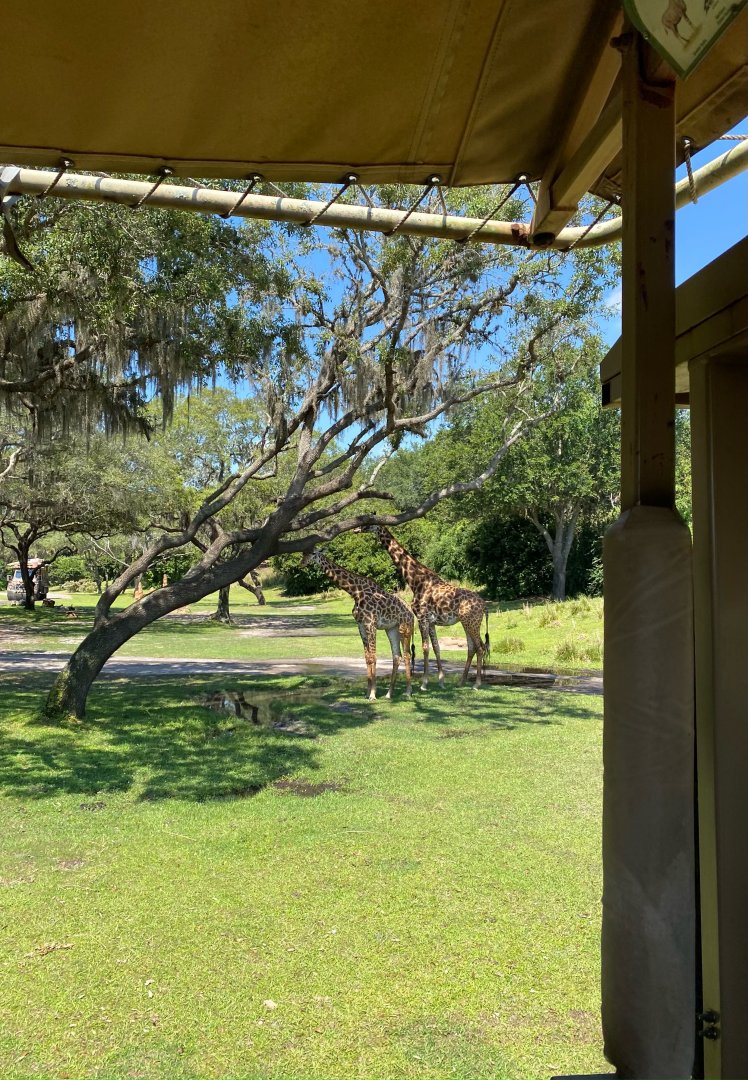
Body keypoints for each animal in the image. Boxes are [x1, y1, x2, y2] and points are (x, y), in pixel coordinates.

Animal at [301, 549, 413, 701]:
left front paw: (373, 695)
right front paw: (367, 692)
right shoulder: (360, 625)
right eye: (303, 554)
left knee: (407, 654)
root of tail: (412, 613)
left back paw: (408, 692)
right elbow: (367, 658)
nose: (302, 563)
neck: (355, 591)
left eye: (313, 554)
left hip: (404, 627)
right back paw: (389, 694)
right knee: (397, 656)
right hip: (392, 629)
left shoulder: (371, 623)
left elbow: (373, 657)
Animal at [368, 526, 489, 690]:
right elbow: (436, 647)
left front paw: (424, 684)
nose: (355, 529)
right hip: (467, 623)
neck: (415, 581)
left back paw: (476, 684)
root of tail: (484, 605)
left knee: (480, 647)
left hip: (472, 622)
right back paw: (462, 681)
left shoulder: (422, 617)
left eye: (365, 523)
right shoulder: (431, 621)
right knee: (472, 648)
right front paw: (441, 681)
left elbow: (425, 647)